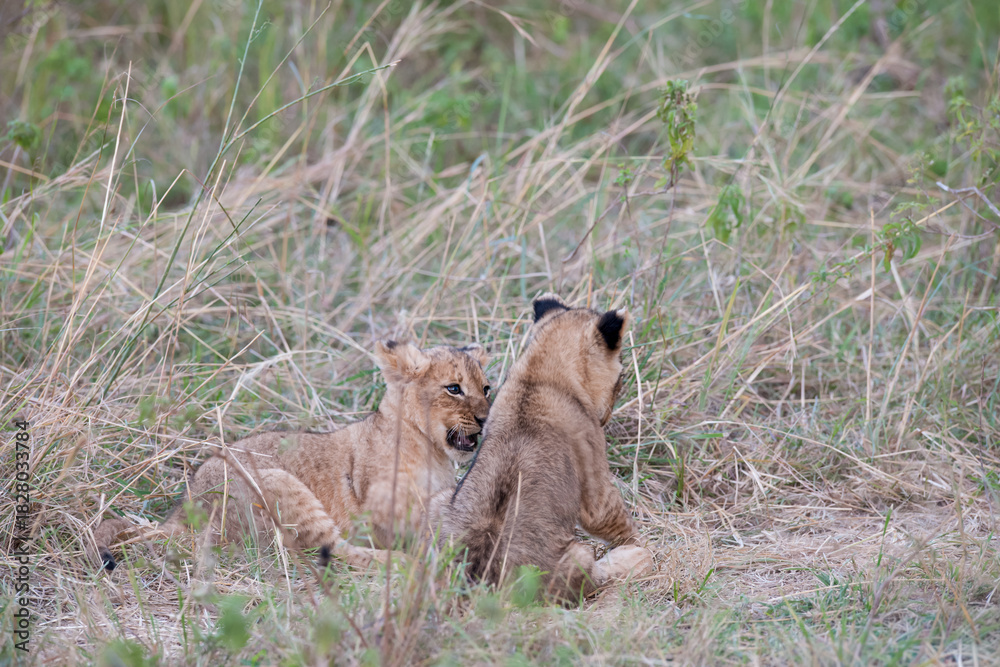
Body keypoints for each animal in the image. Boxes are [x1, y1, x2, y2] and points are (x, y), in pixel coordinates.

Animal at [93, 340, 492, 572]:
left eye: (486, 388)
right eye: (453, 389)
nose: (486, 419)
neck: (432, 449)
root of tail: (184, 511)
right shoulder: (380, 510)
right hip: (279, 483)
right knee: (332, 550)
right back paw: (406, 564)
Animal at [441, 294, 654, 603]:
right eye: (622, 376)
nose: (607, 415)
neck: (538, 372)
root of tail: (478, 584)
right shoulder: (594, 482)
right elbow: (614, 518)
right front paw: (642, 542)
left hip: (442, 498)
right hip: (575, 558)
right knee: (599, 577)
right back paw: (636, 556)